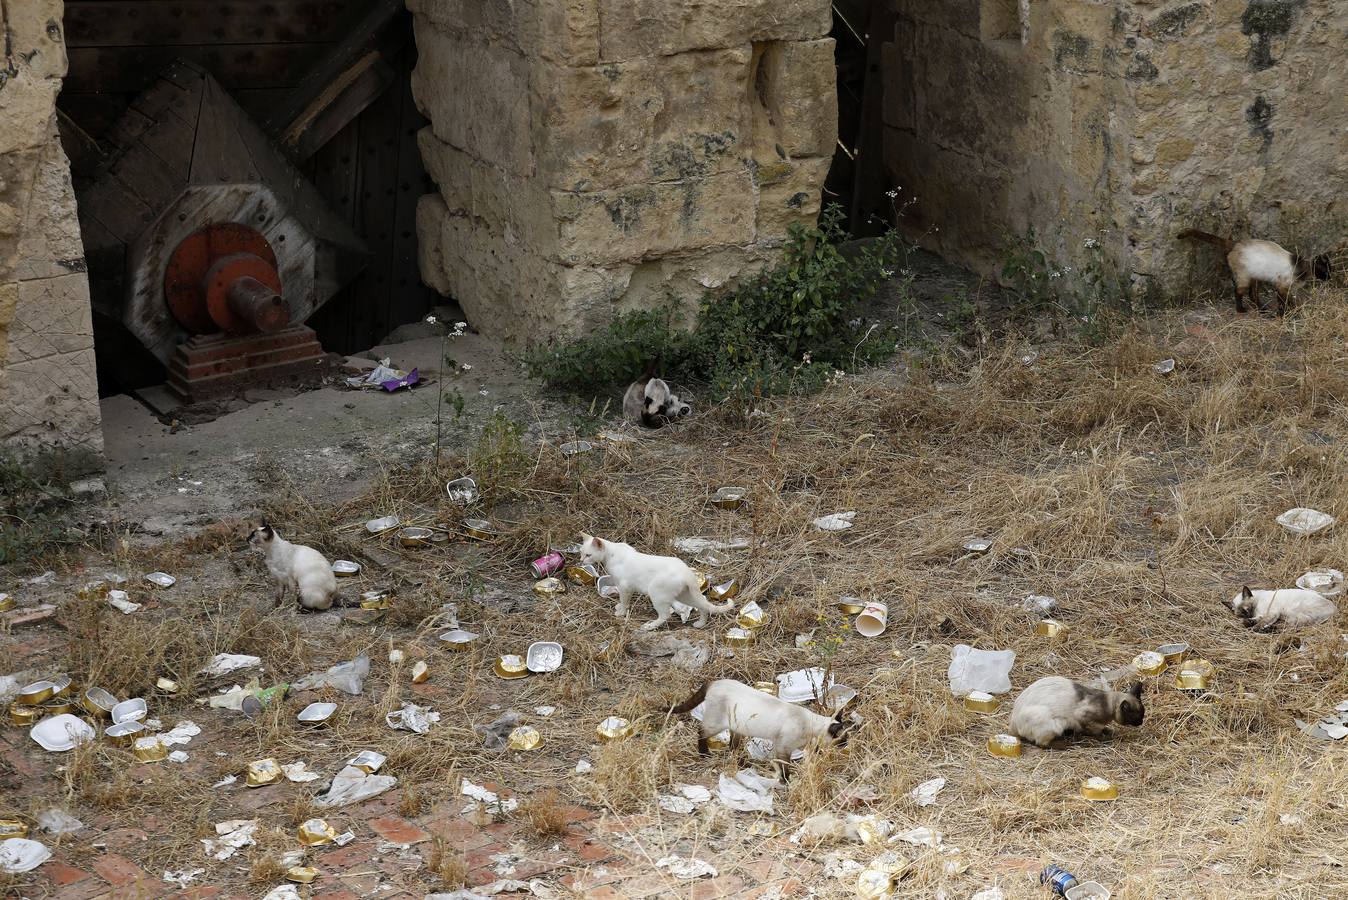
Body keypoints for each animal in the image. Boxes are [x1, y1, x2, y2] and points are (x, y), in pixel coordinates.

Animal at [576, 530, 733, 630]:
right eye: (581, 553)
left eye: (588, 555)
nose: (581, 561)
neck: (611, 555)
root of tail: (686, 571)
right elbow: (623, 601)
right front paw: (620, 608)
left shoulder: (625, 587)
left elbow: (624, 601)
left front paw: (621, 612)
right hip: (685, 595)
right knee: (703, 606)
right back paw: (700, 624)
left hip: (656, 593)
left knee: (666, 615)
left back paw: (649, 626)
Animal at [671, 679, 851, 776]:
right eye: (843, 740)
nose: (846, 745)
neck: (810, 726)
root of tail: (715, 682)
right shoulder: (783, 748)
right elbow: (785, 767)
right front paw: (786, 781)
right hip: (715, 724)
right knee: (701, 732)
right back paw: (704, 754)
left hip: (738, 729)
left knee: (733, 747)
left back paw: (744, 764)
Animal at [1008, 679, 1143, 749]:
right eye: (1135, 716)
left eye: (1143, 713)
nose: (1141, 722)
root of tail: (1013, 724)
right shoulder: (1084, 719)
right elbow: (1097, 733)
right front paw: (1106, 738)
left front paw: (1109, 731)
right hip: (1053, 726)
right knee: (1041, 743)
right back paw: (1065, 744)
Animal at [1180, 229, 1326, 316]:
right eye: (1326, 271)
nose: (1328, 278)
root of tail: (1236, 243)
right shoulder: (1281, 287)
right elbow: (1283, 303)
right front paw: (1284, 314)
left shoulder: (1289, 288)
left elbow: (1289, 301)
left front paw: (1293, 309)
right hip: (1245, 278)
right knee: (1238, 292)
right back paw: (1241, 310)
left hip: (1256, 277)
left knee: (1252, 295)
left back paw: (1262, 309)